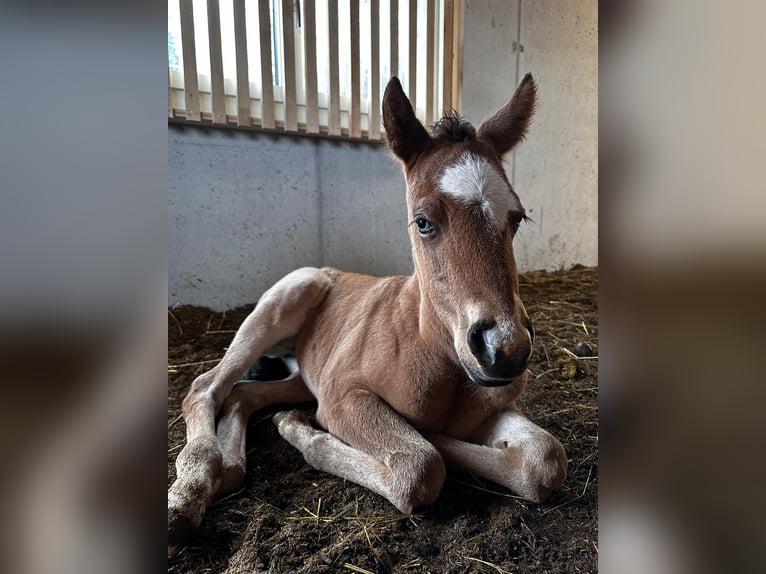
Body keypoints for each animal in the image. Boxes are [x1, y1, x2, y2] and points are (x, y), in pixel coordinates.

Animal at [171, 73, 572, 552]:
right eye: (423, 221)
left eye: (518, 218)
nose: (504, 351)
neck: (429, 349)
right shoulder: (343, 396)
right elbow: (419, 465)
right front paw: (307, 433)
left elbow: (544, 459)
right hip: (280, 306)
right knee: (206, 386)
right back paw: (190, 490)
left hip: (304, 376)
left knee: (243, 395)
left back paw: (230, 467)